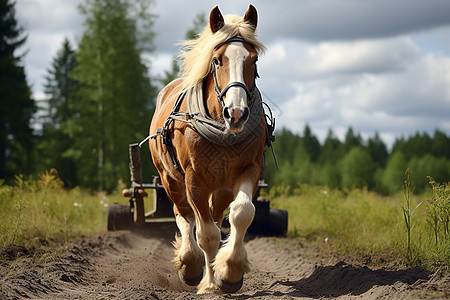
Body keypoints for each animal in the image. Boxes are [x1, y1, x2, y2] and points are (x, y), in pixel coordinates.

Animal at [148, 4, 268, 294]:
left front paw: (230, 272)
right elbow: (205, 234)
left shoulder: (248, 169)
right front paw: (209, 283)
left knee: (215, 215)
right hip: (170, 179)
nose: (236, 113)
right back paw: (190, 263)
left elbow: (241, 213)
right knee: (183, 215)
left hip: (221, 187)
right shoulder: (195, 179)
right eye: (217, 60)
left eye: (253, 60)